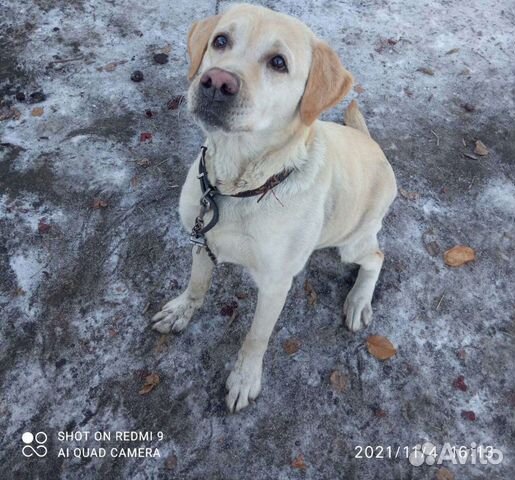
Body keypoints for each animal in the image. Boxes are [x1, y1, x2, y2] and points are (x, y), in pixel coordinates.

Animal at [151, 3, 398, 412]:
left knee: (376, 256)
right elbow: (197, 284)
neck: (237, 187)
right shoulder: (202, 239)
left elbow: (256, 337)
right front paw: (183, 309)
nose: (216, 82)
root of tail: (372, 144)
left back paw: (358, 300)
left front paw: (244, 378)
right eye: (221, 40)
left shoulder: (275, 284)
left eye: (278, 62)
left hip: (352, 241)